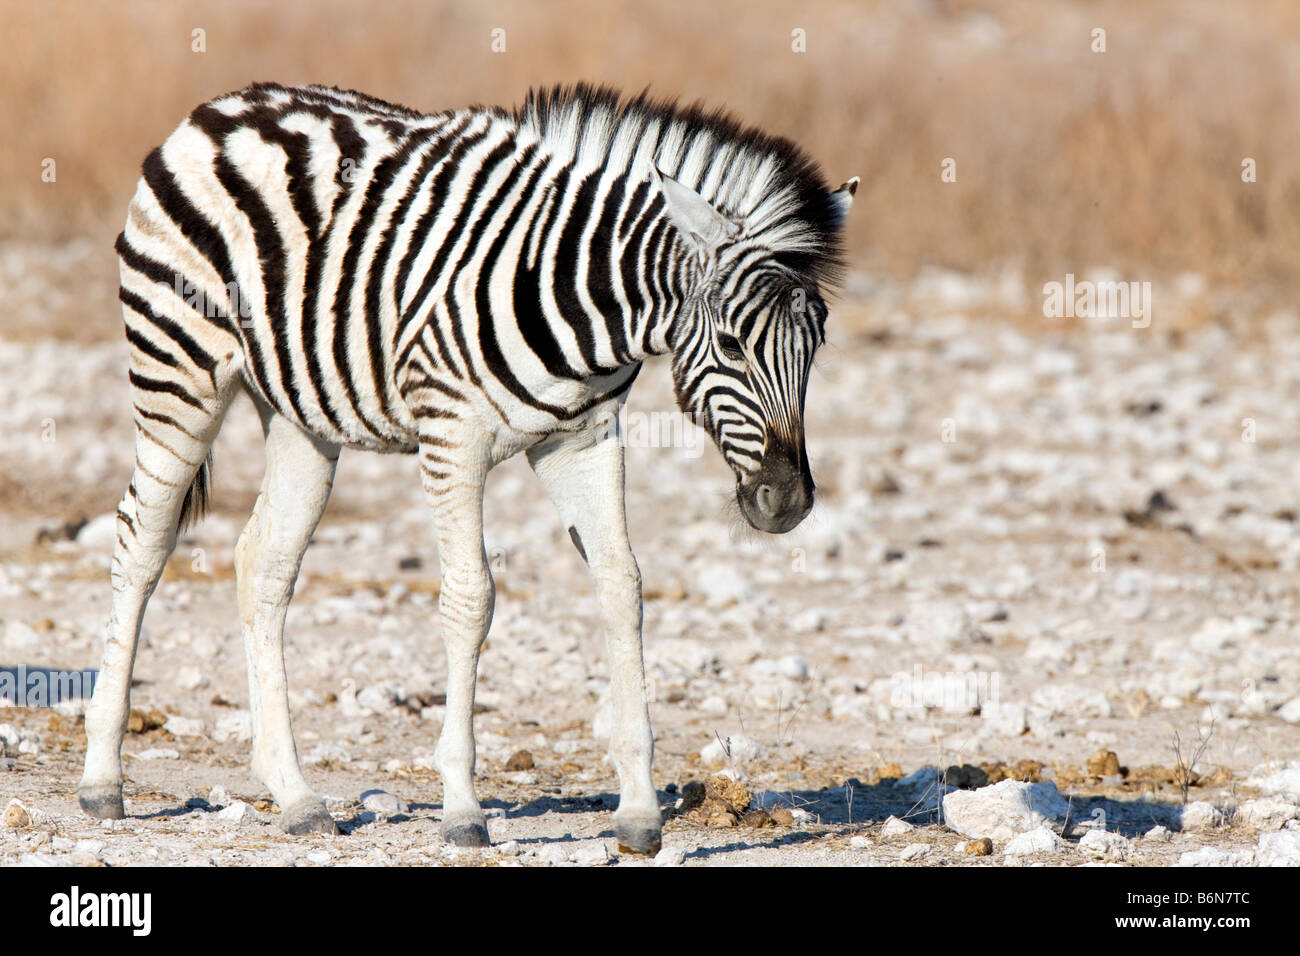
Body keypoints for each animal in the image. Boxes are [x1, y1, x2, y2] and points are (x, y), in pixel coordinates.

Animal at [76, 82, 857, 853]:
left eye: (818, 344)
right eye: (731, 344)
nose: (787, 502)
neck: (586, 298)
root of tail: (220, 106)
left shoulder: (584, 439)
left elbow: (622, 587)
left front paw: (639, 810)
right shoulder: (452, 433)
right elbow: (471, 598)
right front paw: (462, 808)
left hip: (300, 415)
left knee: (262, 567)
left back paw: (294, 794)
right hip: (179, 370)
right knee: (142, 544)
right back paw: (103, 780)